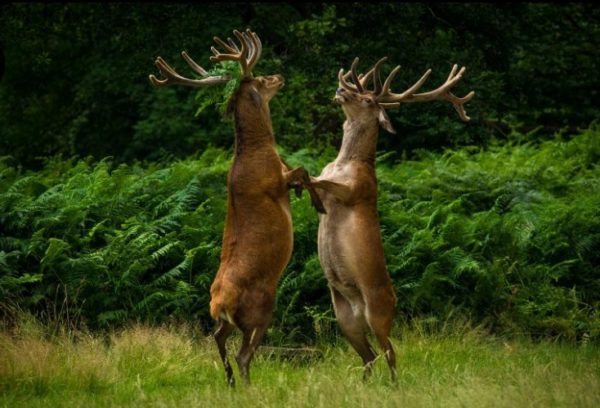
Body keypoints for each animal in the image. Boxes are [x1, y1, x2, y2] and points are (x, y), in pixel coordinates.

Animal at [149, 28, 324, 386]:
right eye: (259, 78)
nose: (279, 76)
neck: (260, 150)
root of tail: (219, 304)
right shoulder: (275, 182)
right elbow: (302, 170)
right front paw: (316, 201)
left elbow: (302, 171)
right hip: (260, 308)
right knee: (245, 354)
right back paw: (246, 385)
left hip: (227, 321)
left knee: (217, 339)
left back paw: (229, 380)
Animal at [312, 55, 476, 380]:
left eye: (366, 98)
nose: (339, 89)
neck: (344, 163)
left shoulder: (358, 190)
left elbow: (323, 182)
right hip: (345, 318)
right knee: (370, 356)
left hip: (379, 312)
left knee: (390, 354)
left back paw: (393, 384)